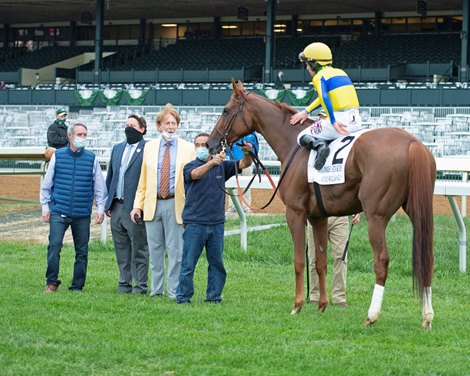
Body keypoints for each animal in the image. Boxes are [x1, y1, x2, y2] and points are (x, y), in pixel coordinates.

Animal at [207, 80, 436, 328]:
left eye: (225, 110)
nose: (210, 143)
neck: (293, 143)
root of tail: (413, 143)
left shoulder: (295, 213)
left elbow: (299, 260)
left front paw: (297, 305)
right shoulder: (318, 217)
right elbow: (320, 262)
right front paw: (321, 306)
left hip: (376, 216)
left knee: (381, 261)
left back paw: (371, 315)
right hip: (418, 212)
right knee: (427, 259)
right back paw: (427, 317)